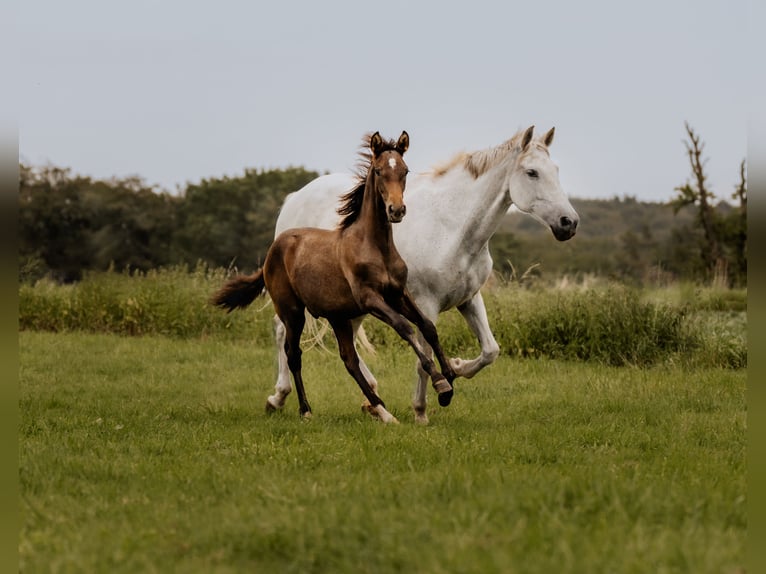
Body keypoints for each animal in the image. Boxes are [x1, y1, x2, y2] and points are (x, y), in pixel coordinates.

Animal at [270, 126, 576, 424]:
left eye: (556, 170)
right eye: (532, 172)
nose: (569, 223)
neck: (452, 228)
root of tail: (294, 198)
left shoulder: (469, 299)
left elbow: (490, 350)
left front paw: (456, 368)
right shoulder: (425, 303)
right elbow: (422, 355)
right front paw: (423, 409)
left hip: (350, 304)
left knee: (348, 344)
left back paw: (372, 402)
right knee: (283, 332)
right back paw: (279, 397)